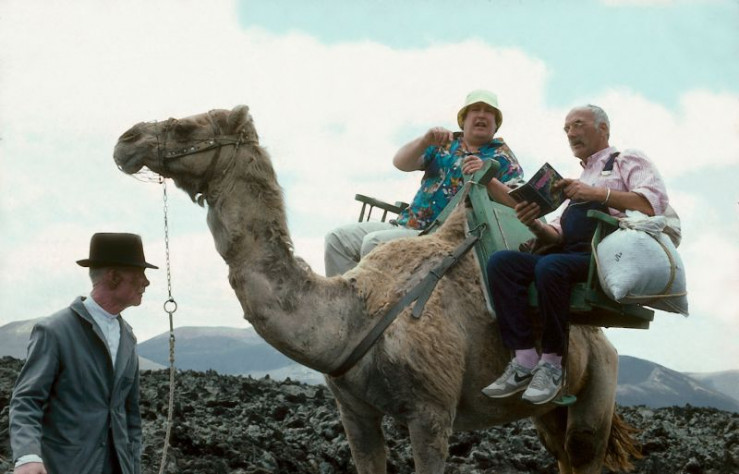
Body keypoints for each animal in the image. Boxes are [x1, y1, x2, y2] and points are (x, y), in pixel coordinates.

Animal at [113, 105, 641, 474]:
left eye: (186, 127)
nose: (125, 139)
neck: (354, 318)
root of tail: (602, 339)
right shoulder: (355, 413)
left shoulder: (432, 414)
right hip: (548, 412)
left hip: (598, 387)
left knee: (583, 450)